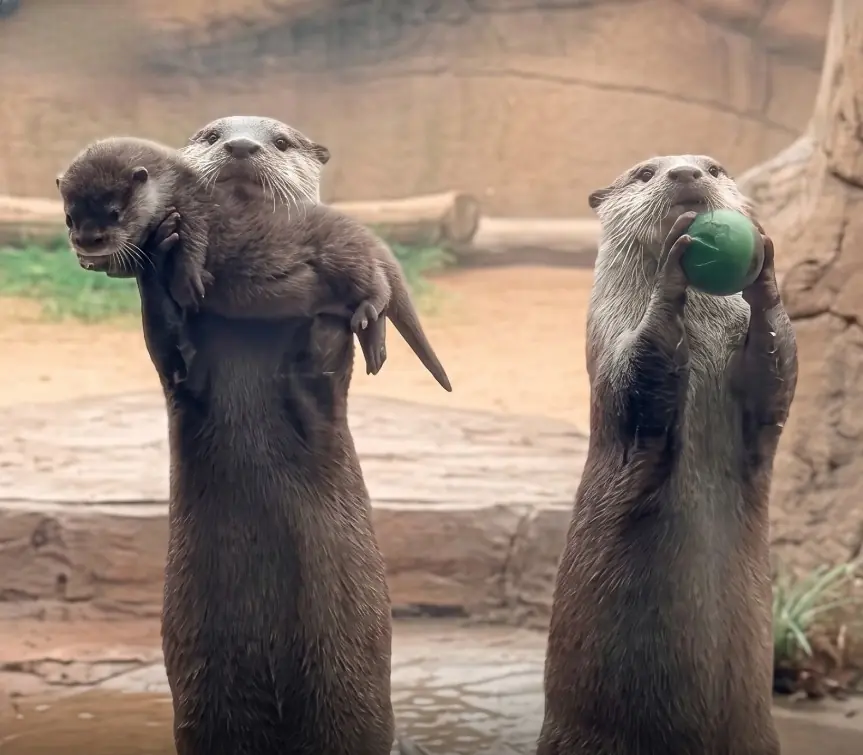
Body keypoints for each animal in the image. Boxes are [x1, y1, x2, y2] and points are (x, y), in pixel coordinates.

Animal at [135, 214, 408, 755]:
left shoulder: (319, 412)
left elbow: (320, 374)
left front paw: (340, 318)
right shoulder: (184, 384)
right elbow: (168, 346)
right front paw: (160, 260)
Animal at [537, 156, 797, 755]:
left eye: (715, 168)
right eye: (643, 172)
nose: (684, 172)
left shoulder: (760, 400)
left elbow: (775, 372)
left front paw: (766, 273)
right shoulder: (610, 348)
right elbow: (639, 377)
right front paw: (674, 272)